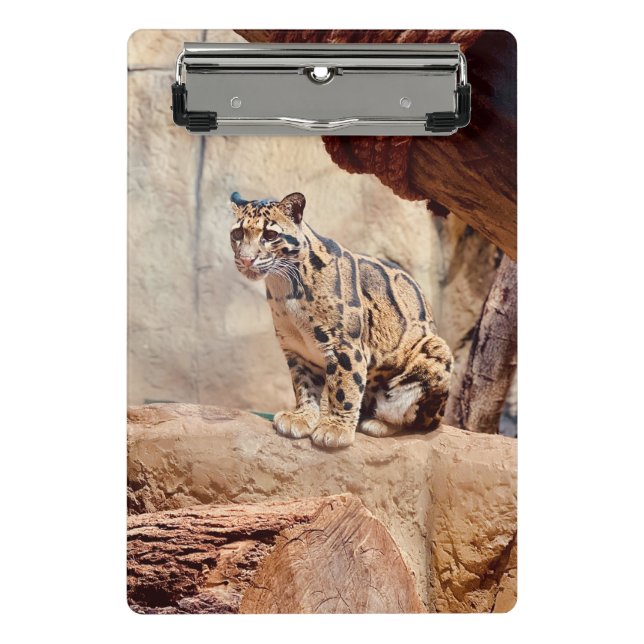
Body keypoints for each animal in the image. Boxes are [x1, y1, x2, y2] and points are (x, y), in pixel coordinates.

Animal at [229, 191, 453, 449]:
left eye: (270, 235)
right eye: (237, 234)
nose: (246, 259)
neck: (283, 288)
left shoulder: (344, 345)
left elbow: (344, 387)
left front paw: (335, 429)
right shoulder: (297, 349)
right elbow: (304, 386)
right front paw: (302, 417)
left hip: (435, 351)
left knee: (416, 420)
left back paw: (378, 423)